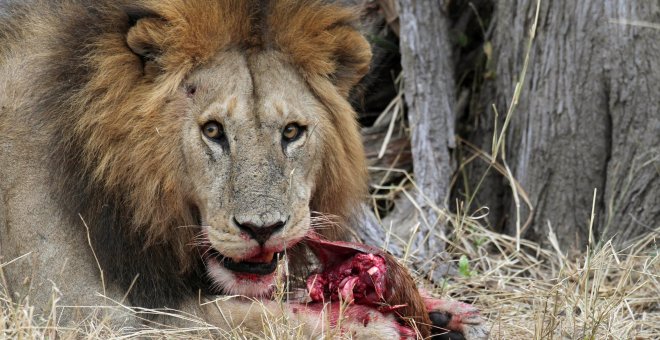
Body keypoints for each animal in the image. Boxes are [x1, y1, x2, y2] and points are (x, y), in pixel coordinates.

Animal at [1, 0, 484, 338]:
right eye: (213, 130)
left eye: (292, 132)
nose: (262, 229)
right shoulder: (74, 309)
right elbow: (229, 316)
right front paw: (357, 323)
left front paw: (441, 309)